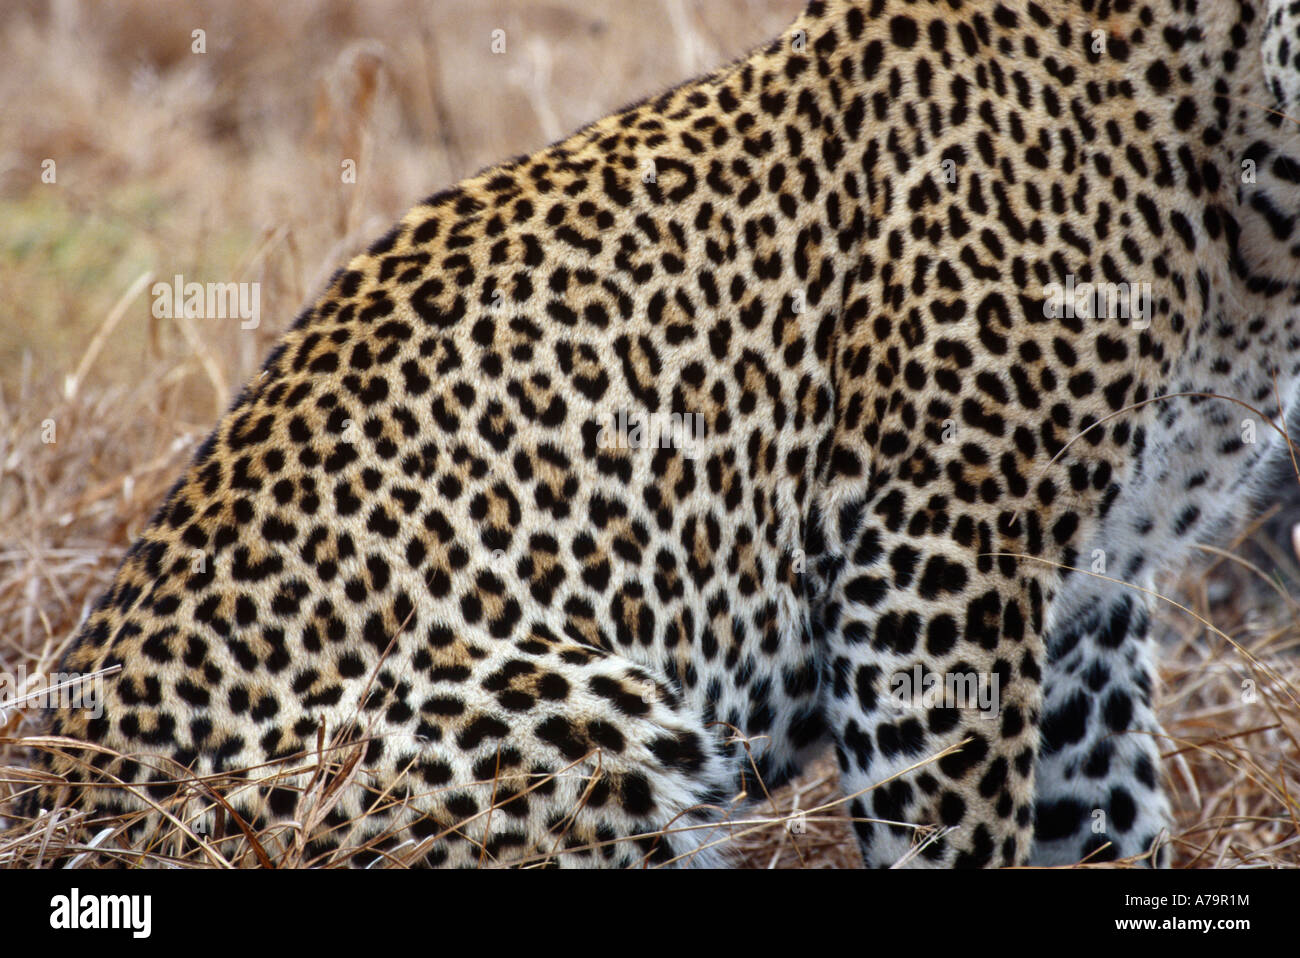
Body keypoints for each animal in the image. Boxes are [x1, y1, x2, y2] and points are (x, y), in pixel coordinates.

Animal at [15, 0, 1300, 868]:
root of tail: (49, 791)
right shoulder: (934, 550)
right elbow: (954, 826)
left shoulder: (1086, 597)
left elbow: (1105, 811)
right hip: (580, 715)